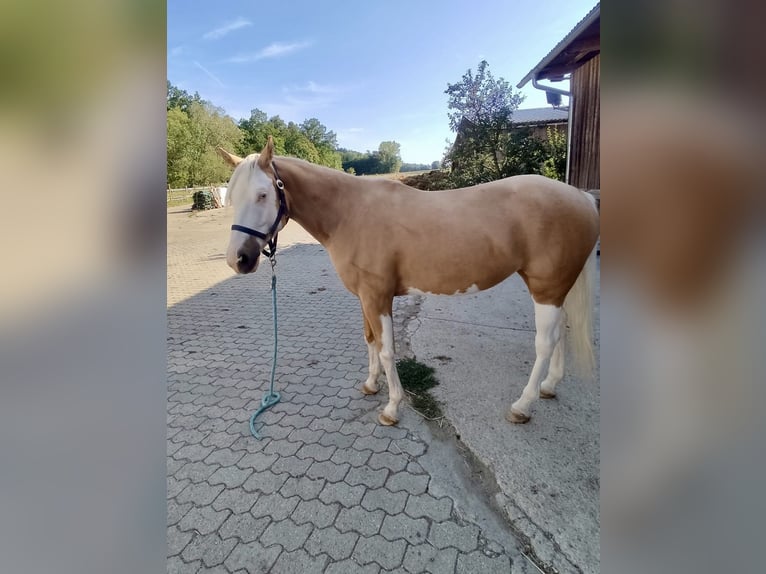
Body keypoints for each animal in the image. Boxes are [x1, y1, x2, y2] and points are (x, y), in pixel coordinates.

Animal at [217, 136, 599, 427]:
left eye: (263, 194)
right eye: (232, 196)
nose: (238, 259)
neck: (350, 213)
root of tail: (580, 196)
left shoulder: (378, 296)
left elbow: (387, 350)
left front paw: (391, 407)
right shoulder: (364, 297)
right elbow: (370, 340)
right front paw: (371, 385)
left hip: (546, 288)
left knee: (545, 343)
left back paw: (522, 405)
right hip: (556, 288)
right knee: (560, 333)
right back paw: (549, 386)